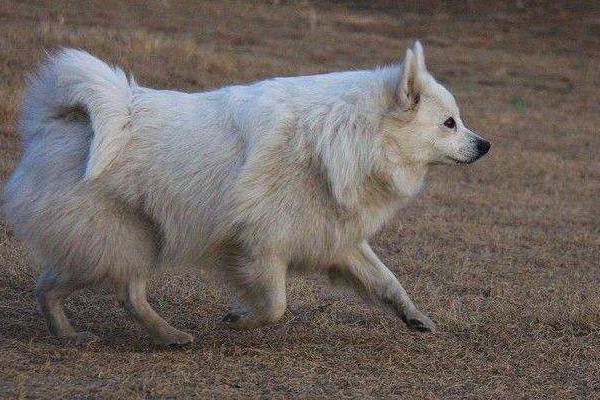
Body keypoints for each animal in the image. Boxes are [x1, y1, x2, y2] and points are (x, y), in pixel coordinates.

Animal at [3, 42, 488, 346]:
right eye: (450, 123)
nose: (485, 145)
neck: (350, 136)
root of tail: (59, 121)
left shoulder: (336, 239)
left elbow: (387, 280)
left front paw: (414, 316)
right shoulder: (260, 247)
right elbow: (276, 305)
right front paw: (238, 320)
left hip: (125, 242)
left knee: (63, 286)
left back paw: (104, 335)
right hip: (124, 240)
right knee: (115, 292)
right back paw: (150, 335)